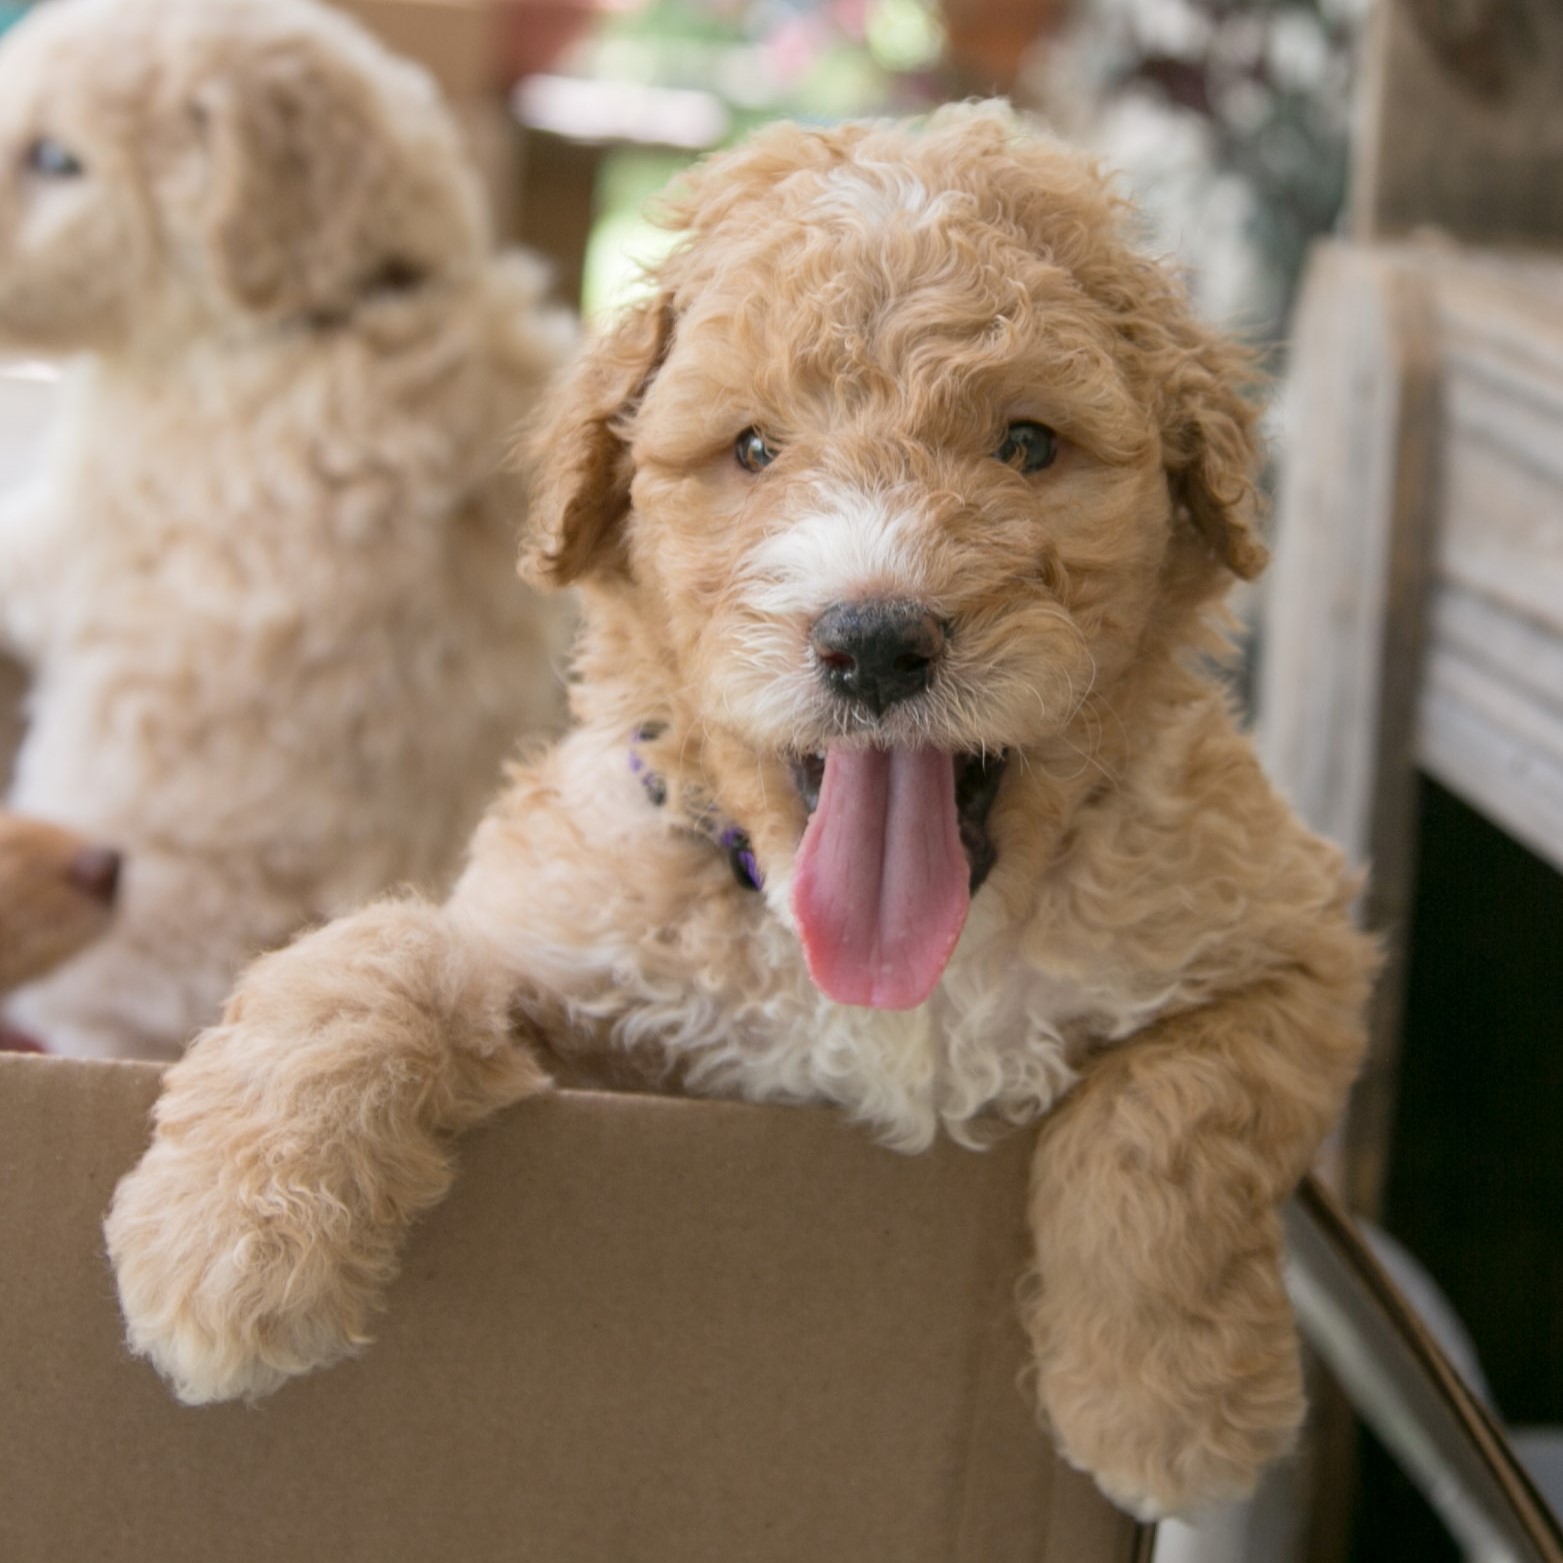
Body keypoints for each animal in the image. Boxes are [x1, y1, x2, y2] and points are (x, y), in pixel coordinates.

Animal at [110, 107, 1375, 1512]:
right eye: (756, 449)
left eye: (1029, 444)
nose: (873, 641)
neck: (898, 987)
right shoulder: (574, 958)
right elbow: (383, 953)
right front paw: (229, 1244)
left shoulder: (1287, 944)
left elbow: (1176, 1119)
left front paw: (1168, 1408)